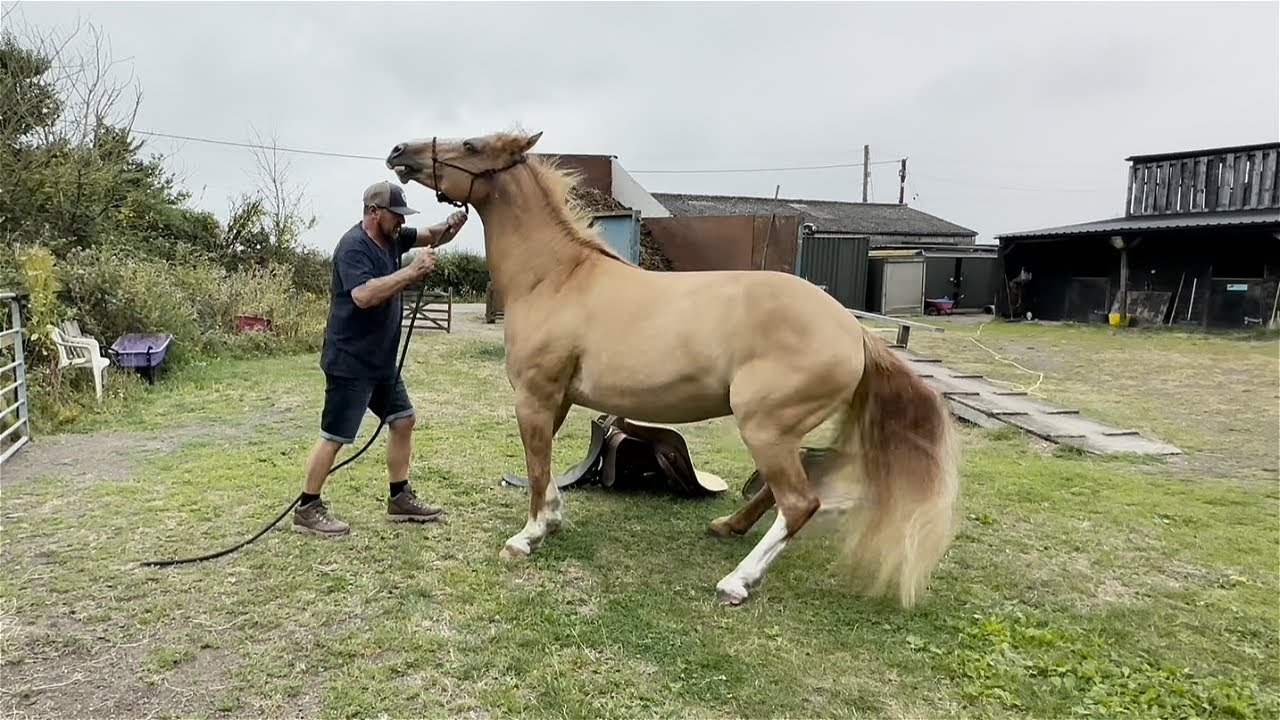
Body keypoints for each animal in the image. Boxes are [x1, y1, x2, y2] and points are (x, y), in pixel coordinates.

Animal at [385, 130, 961, 608]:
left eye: (471, 145)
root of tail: (852, 330)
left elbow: (536, 466)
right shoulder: (559, 399)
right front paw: (552, 521)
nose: (398, 153)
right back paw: (728, 526)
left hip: (765, 427)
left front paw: (527, 537)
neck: (557, 277)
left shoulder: (535, 395)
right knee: (798, 482)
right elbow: (543, 466)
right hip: (790, 430)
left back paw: (737, 582)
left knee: (800, 502)